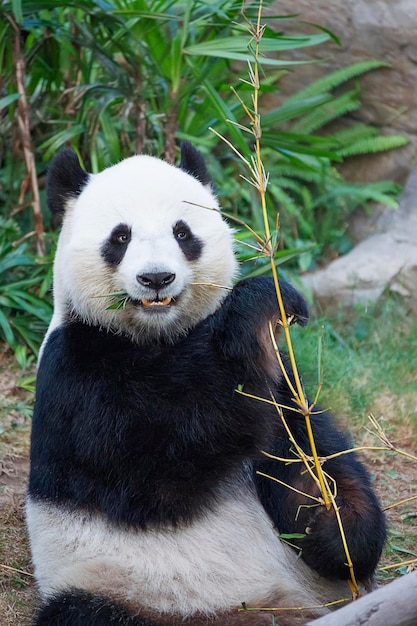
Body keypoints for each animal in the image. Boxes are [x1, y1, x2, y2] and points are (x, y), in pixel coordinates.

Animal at [28, 143, 386, 624]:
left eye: (183, 233)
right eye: (119, 238)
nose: (156, 278)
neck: (159, 336)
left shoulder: (280, 381)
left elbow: (298, 448)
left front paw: (335, 524)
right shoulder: (77, 373)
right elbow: (160, 460)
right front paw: (259, 304)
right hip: (121, 588)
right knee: (86, 611)